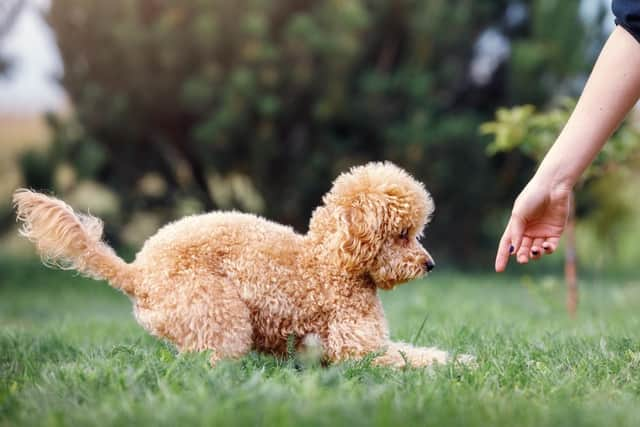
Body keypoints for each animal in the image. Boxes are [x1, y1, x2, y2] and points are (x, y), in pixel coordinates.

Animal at [11, 161, 470, 368]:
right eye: (403, 234)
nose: (430, 265)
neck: (332, 261)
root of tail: (136, 273)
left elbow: (416, 350)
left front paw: (457, 359)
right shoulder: (355, 351)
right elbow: (406, 359)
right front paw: (454, 365)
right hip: (217, 310)